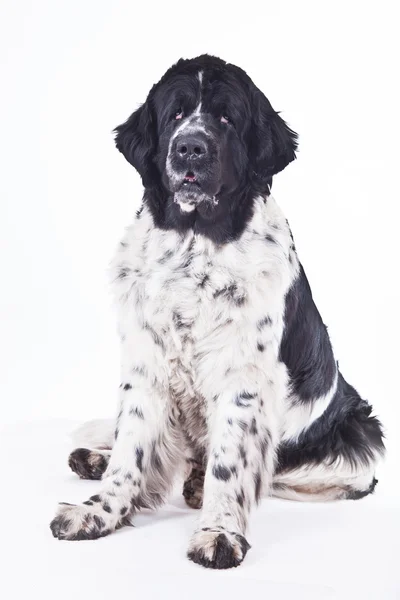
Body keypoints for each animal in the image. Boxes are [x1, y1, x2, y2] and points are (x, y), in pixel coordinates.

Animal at [49, 55, 384, 568]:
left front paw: (219, 532)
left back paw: (193, 484)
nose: (191, 148)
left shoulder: (243, 378)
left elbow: (230, 465)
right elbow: (131, 448)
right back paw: (98, 459)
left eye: (227, 118)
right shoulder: (145, 363)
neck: (195, 245)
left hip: (358, 433)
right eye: (174, 114)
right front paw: (99, 511)